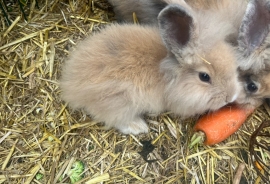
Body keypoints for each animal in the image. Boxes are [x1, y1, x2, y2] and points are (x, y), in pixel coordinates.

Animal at [59, 2, 240, 135]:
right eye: (204, 77)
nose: (230, 97)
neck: (168, 74)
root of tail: (70, 85)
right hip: (117, 102)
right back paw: (138, 126)